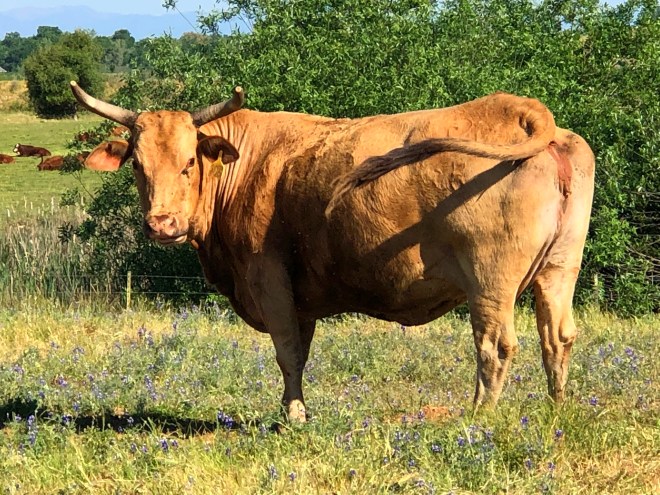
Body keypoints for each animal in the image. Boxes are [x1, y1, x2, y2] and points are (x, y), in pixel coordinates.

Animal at [70, 81, 595, 422]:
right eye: (137, 166)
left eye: (187, 163)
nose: (163, 224)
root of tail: (521, 109)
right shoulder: (299, 295)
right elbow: (300, 352)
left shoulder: (268, 279)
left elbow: (287, 352)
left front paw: (293, 419)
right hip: (559, 268)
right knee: (557, 337)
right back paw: (556, 410)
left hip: (490, 277)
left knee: (495, 345)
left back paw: (479, 418)